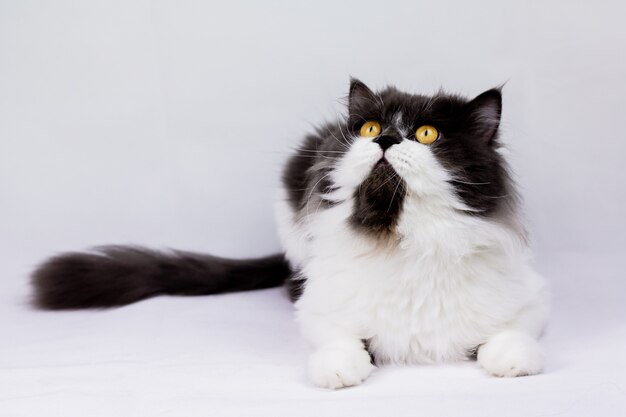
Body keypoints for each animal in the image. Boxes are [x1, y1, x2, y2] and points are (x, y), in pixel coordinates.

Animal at [30, 79, 544, 388]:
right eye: (369, 128)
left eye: (427, 135)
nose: (383, 140)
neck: (401, 240)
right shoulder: (320, 308)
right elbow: (339, 340)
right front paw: (341, 368)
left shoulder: (530, 299)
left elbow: (511, 338)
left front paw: (511, 360)